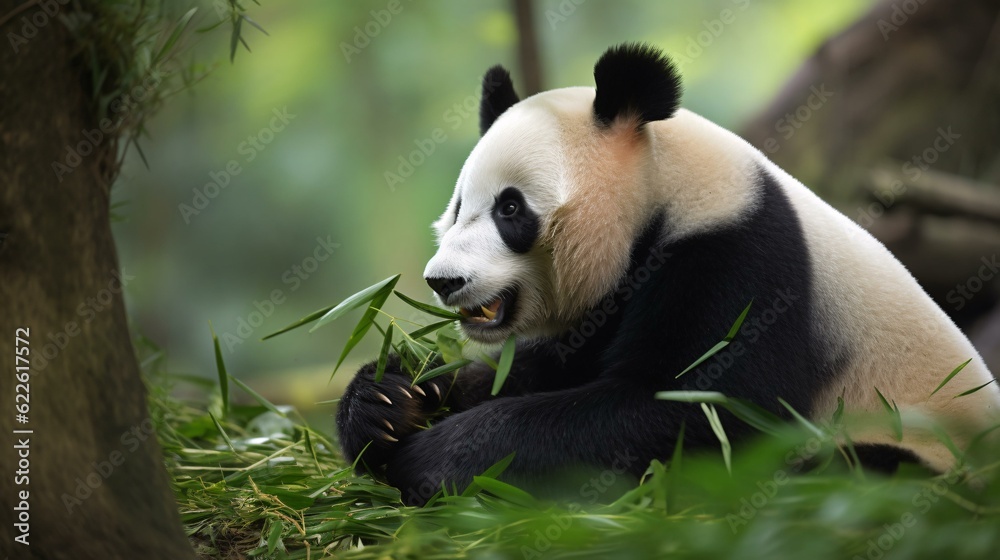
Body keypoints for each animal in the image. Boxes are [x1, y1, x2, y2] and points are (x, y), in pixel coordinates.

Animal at [337, 43, 1000, 506]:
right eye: (457, 208)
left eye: (510, 208)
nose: (444, 281)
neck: (666, 190)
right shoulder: (606, 309)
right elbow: (536, 372)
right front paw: (390, 400)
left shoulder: (742, 259)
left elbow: (695, 414)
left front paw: (436, 459)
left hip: (921, 442)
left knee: (856, 469)